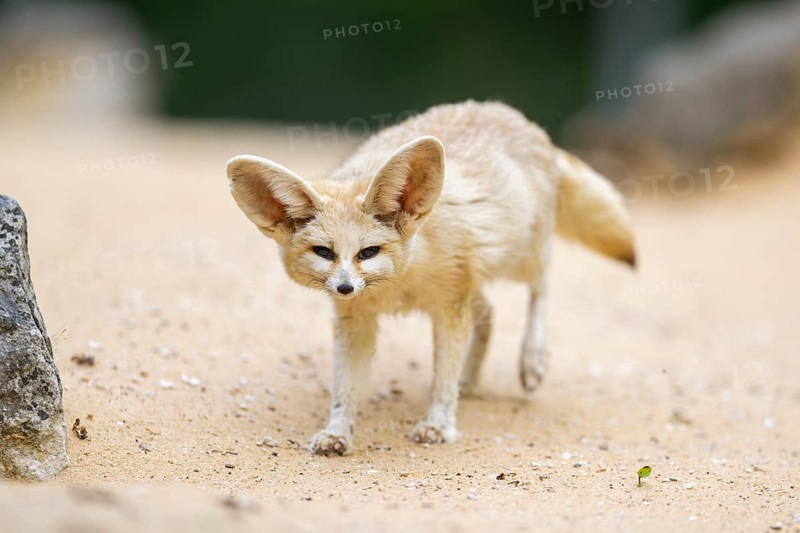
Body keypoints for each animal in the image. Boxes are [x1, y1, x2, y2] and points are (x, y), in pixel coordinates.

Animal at [227, 101, 635, 456]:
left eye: (368, 252)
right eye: (324, 253)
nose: (344, 288)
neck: (400, 283)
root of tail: (507, 112)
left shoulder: (449, 307)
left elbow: (442, 377)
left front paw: (438, 424)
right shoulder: (358, 320)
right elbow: (344, 389)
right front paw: (337, 432)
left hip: (521, 256)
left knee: (542, 287)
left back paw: (531, 359)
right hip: (476, 281)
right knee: (490, 313)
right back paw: (469, 380)